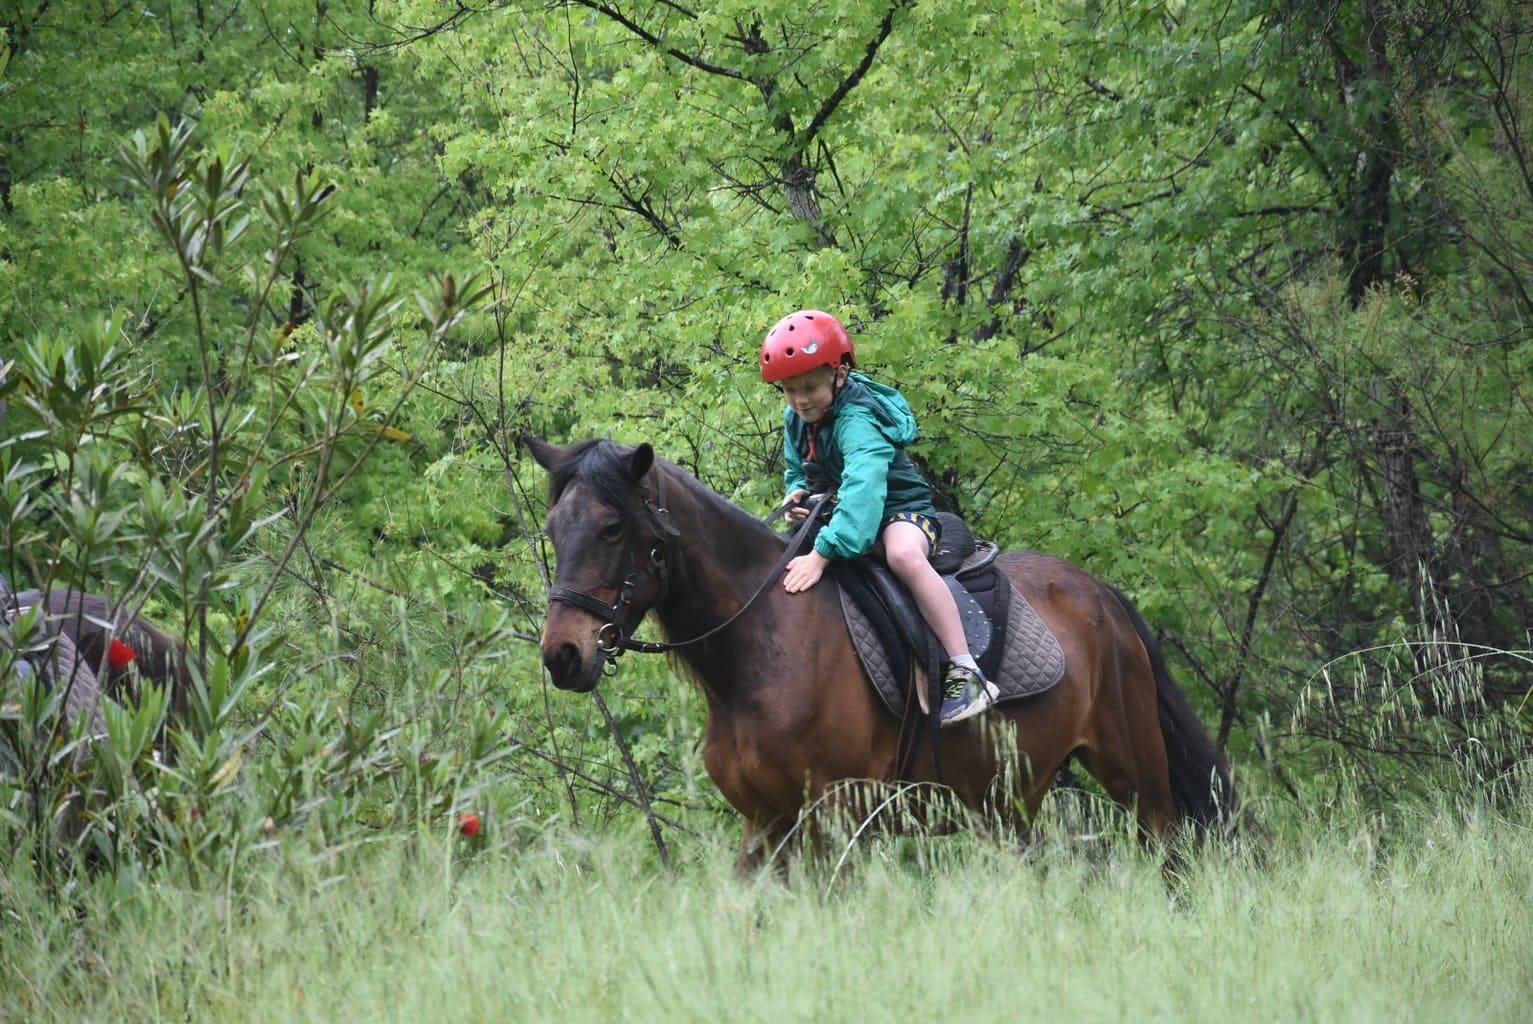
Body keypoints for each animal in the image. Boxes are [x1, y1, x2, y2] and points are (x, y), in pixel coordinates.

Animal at [526, 436, 1236, 868]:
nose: (563, 655)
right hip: (1006, 803)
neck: (761, 650)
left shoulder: (832, 821)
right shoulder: (767, 824)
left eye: (611, 528)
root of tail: (1101, 596)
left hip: (1136, 777)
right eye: (555, 528)